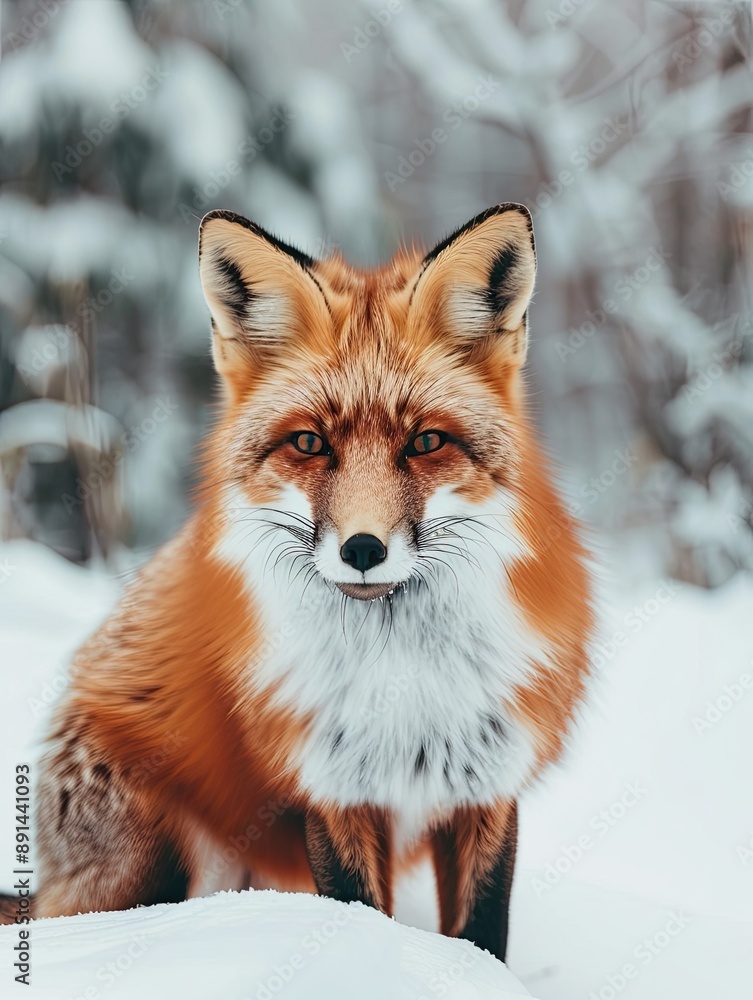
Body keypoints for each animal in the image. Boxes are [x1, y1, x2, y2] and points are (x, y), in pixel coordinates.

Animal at [6, 203, 594, 964]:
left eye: (426, 442)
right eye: (310, 444)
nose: (363, 549)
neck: (403, 690)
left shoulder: (484, 785)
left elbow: (482, 935)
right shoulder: (331, 789)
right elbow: (360, 914)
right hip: (164, 857)